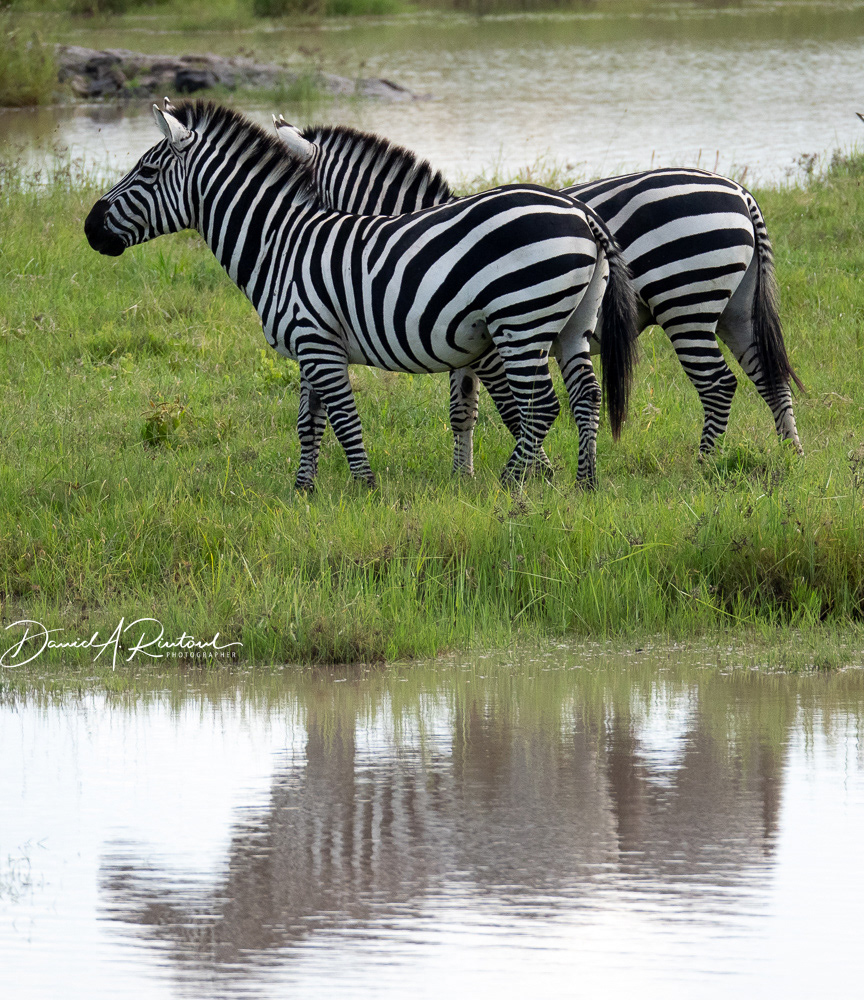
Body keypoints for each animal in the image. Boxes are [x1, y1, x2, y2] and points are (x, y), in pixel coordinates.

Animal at [84, 101, 638, 491]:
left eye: (146, 172)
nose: (89, 228)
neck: (279, 243)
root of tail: (580, 213)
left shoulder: (320, 344)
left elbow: (346, 419)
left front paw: (366, 488)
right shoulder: (310, 347)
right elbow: (309, 423)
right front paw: (303, 491)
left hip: (520, 321)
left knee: (541, 405)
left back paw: (510, 483)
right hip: (571, 324)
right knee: (585, 394)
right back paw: (585, 484)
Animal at [273, 116, 804, 475]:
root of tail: (740, 193)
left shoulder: (487, 342)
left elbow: (511, 409)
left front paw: (537, 472)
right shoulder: (464, 344)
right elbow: (462, 411)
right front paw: (462, 478)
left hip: (686, 302)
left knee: (718, 385)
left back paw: (704, 465)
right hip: (735, 310)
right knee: (770, 378)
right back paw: (792, 457)